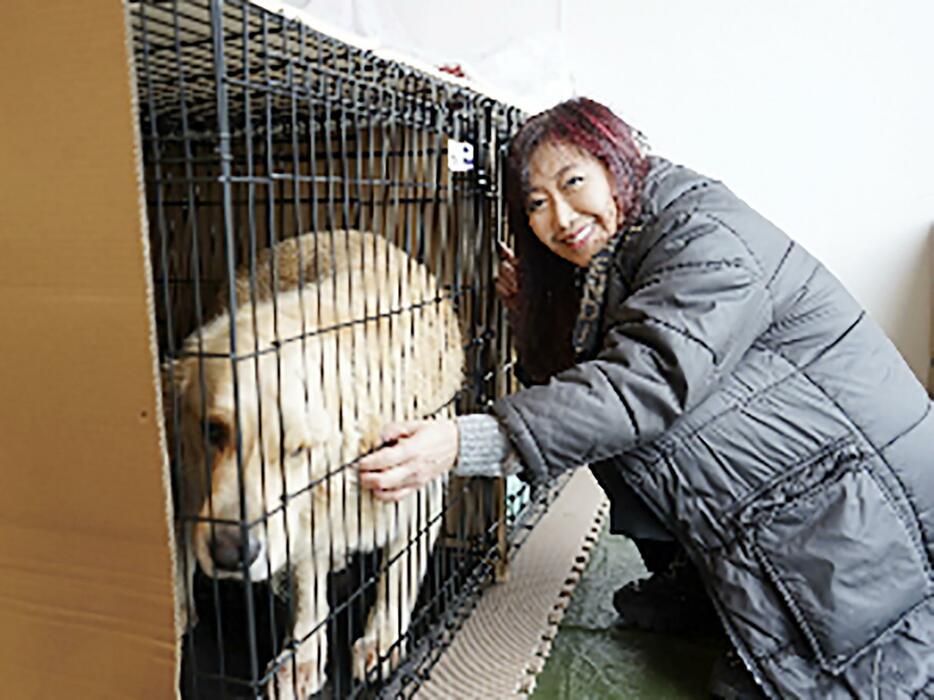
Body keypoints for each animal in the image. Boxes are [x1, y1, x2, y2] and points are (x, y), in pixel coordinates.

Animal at [168, 228, 464, 696]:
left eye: (298, 449)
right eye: (214, 430)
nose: (232, 553)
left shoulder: (422, 492)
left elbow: (399, 575)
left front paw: (381, 640)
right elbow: (310, 592)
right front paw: (301, 661)